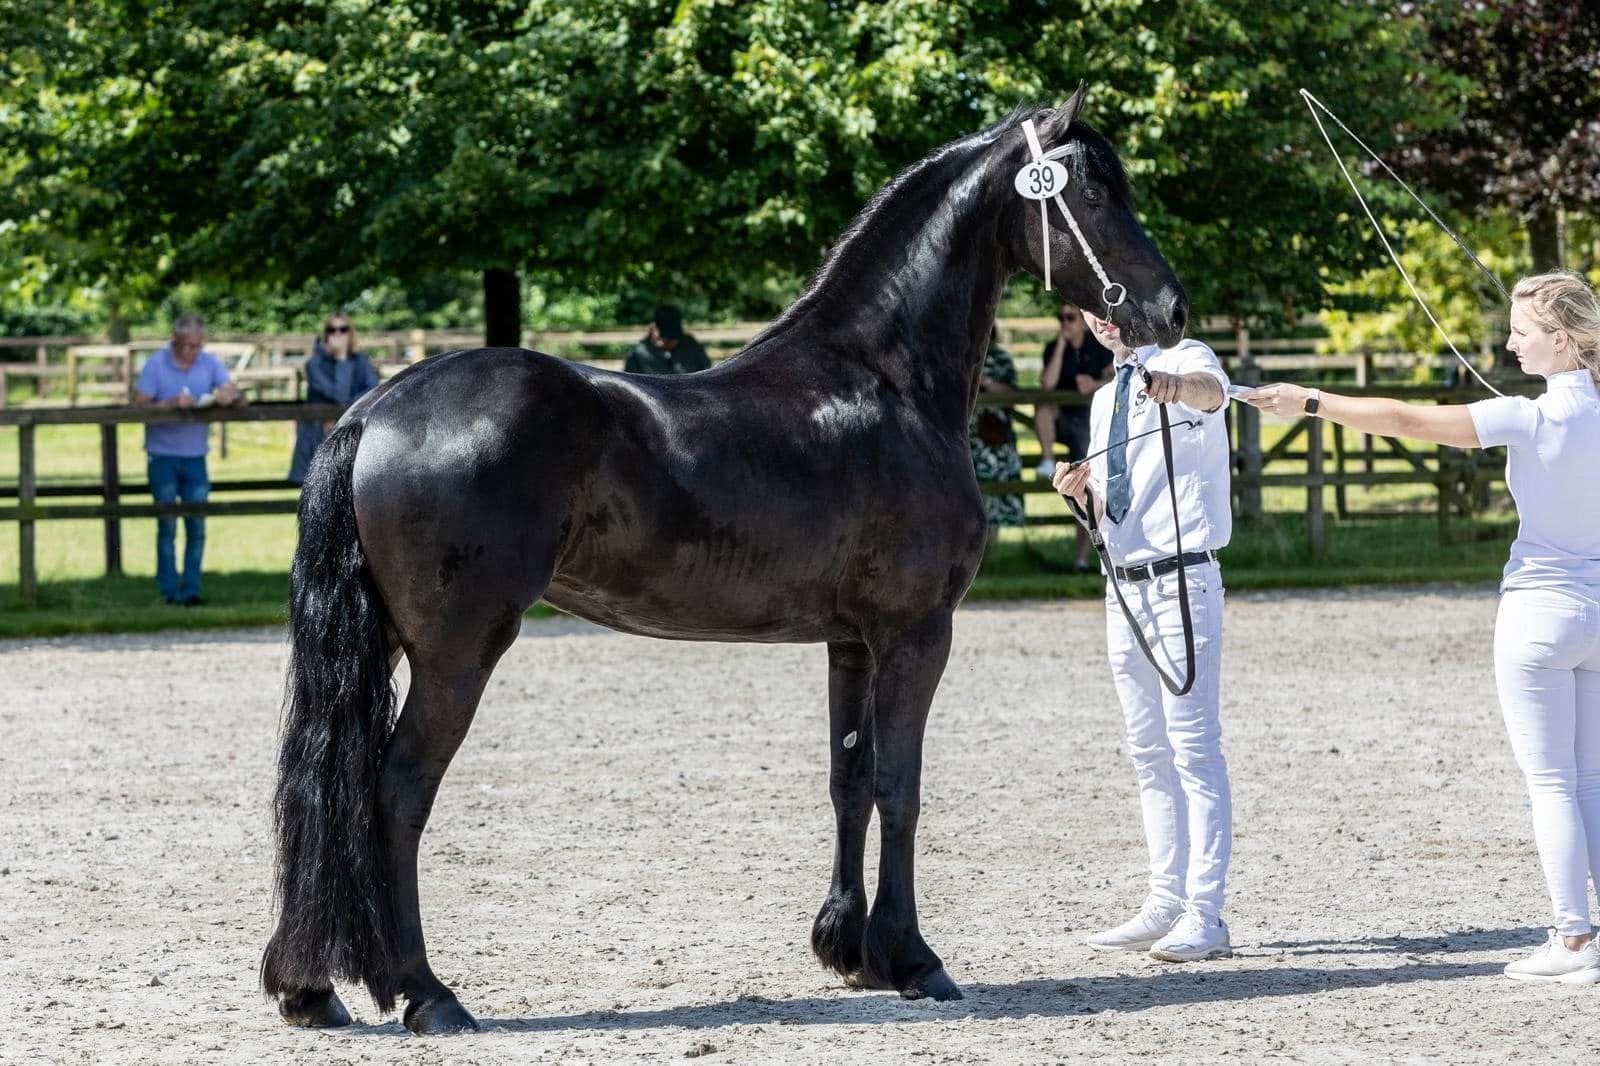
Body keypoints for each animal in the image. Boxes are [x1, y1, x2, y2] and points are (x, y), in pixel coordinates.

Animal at [260, 84, 1188, 1035]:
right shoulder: (916, 633)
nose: (1170, 312)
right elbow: (901, 787)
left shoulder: (850, 642)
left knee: (327, 791)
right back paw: (426, 992)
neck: (883, 382)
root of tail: (376, 409)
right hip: (457, 653)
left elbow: (850, 780)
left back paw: (313, 988)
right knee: (397, 791)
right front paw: (914, 959)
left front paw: (849, 950)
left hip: (391, 645)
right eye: (1093, 191)